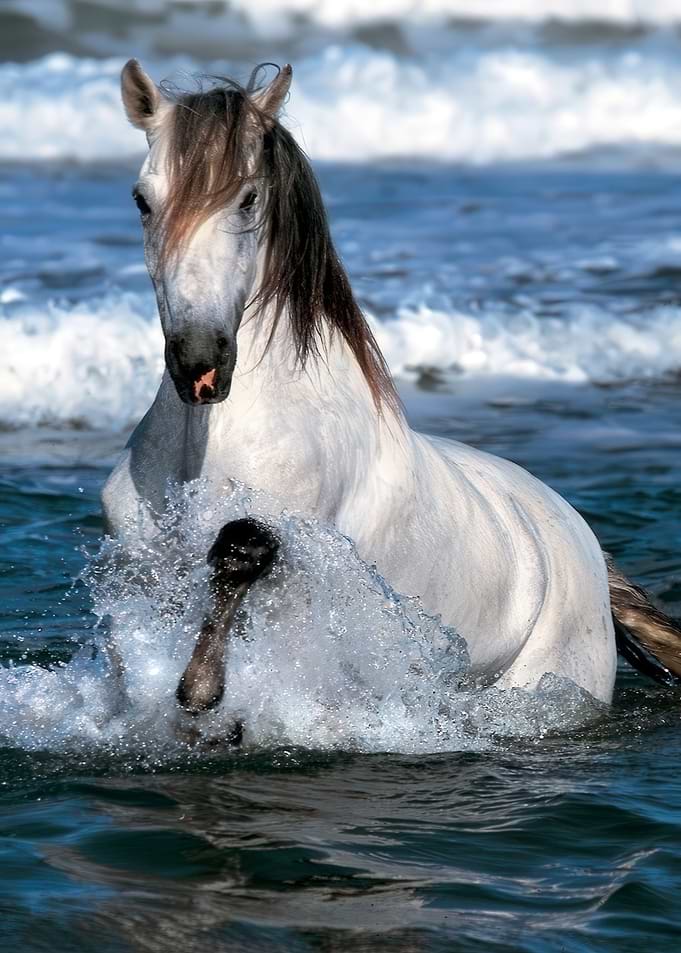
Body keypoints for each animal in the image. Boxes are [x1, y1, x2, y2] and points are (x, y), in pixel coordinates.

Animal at [102, 58, 681, 719]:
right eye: (142, 201)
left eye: (248, 198)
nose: (200, 361)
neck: (205, 446)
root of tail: (585, 546)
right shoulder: (138, 570)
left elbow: (241, 551)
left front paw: (203, 694)